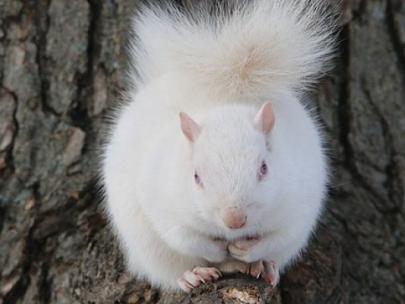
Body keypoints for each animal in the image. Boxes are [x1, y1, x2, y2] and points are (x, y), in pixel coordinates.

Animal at [101, 0, 338, 292]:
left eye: (264, 169)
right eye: (196, 177)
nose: (234, 220)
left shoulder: (298, 204)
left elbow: (278, 236)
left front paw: (248, 251)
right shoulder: (162, 199)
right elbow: (183, 236)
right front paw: (214, 250)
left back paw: (261, 266)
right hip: (150, 248)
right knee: (171, 269)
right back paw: (193, 274)